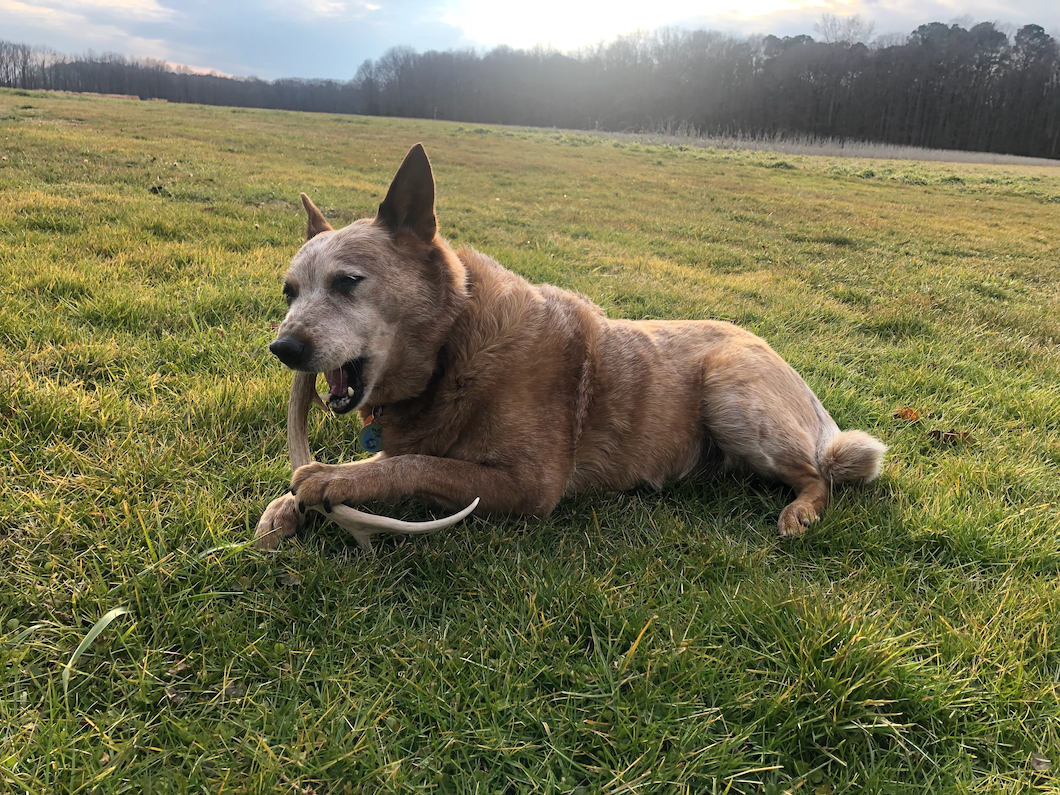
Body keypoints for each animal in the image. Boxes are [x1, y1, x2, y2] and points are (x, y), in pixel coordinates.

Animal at [254, 145, 886, 555]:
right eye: (289, 291)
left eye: (347, 281)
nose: (283, 347)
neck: (454, 349)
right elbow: (392, 458)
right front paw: (284, 507)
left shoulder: (532, 485)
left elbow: (417, 463)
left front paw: (329, 479)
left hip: (732, 393)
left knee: (822, 476)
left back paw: (801, 510)